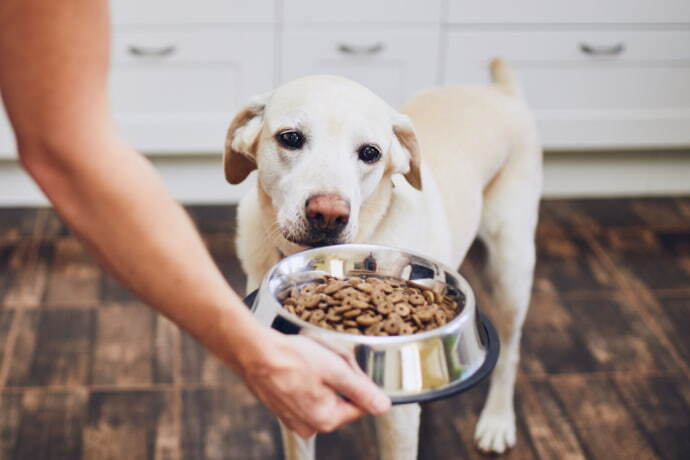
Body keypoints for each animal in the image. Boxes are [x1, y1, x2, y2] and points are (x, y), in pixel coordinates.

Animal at [226, 59, 544, 458]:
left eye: (370, 153)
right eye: (291, 138)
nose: (328, 214)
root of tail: (499, 92)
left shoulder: (398, 418)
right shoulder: (295, 396)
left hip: (511, 267)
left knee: (511, 351)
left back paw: (497, 421)